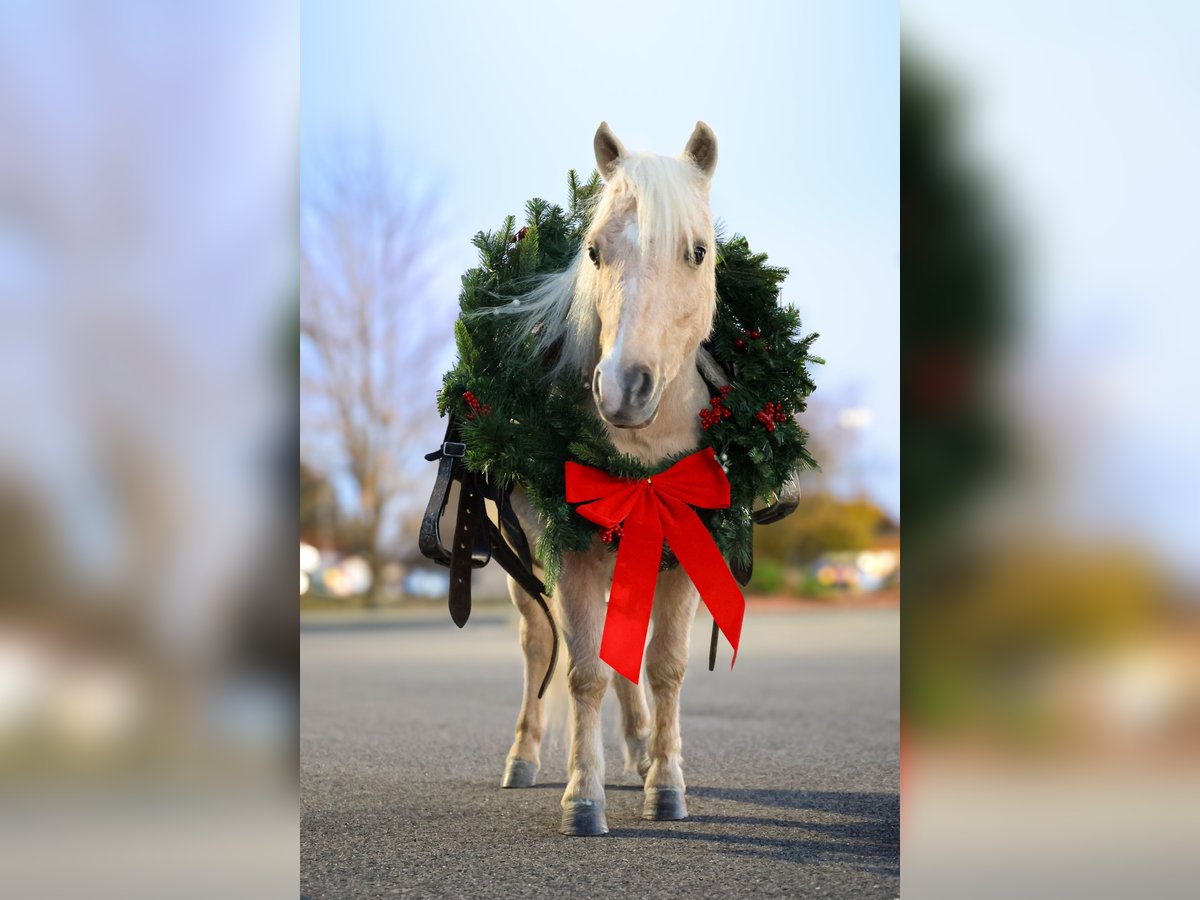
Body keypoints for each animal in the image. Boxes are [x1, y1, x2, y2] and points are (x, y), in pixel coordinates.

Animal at [499, 121, 726, 836]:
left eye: (697, 252)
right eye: (594, 251)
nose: (624, 387)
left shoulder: (686, 555)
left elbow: (664, 666)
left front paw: (666, 782)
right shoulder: (569, 554)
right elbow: (584, 671)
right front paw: (583, 795)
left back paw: (639, 748)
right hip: (523, 560)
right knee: (540, 646)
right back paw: (525, 756)